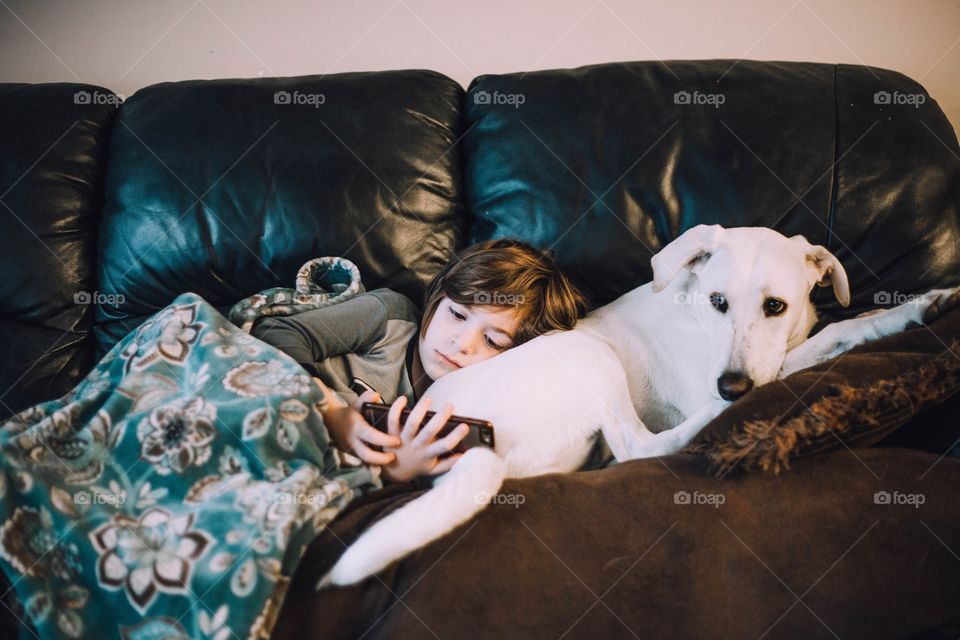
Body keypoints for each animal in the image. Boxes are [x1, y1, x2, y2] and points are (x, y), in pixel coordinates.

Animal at [320, 224, 952, 584]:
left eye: (775, 305)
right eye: (718, 300)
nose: (732, 388)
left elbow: (831, 328)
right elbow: (823, 342)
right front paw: (903, 313)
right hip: (589, 355)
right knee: (637, 449)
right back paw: (716, 424)